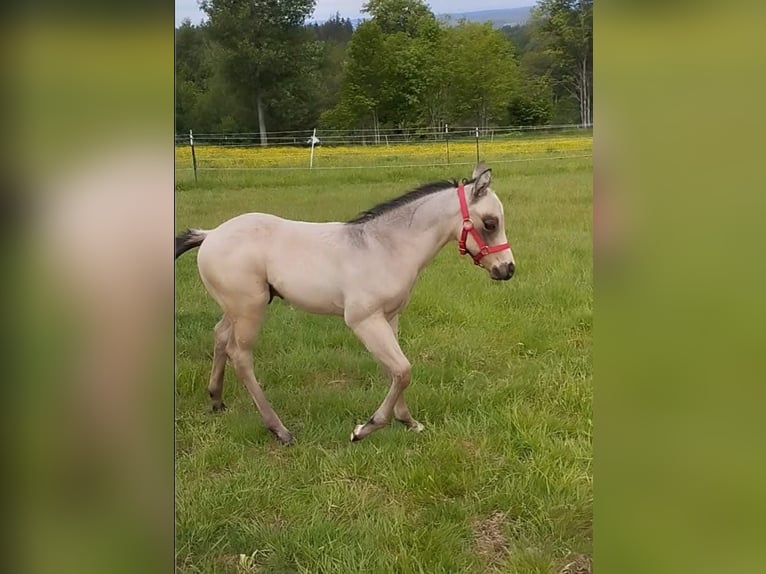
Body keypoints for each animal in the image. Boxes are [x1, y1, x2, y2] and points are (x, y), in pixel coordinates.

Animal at [175, 162, 515, 444]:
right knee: (241, 356)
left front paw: (408, 421)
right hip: (250, 309)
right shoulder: (363, 320)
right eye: (489, 223)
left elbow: (396, 371)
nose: (508, 269)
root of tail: (210, 234)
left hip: (234, 308)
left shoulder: (389, 317)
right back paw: (280, 430)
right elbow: (403, 369)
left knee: (220, 336)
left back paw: (216, 400)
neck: (384, 247)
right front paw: (365, 429)